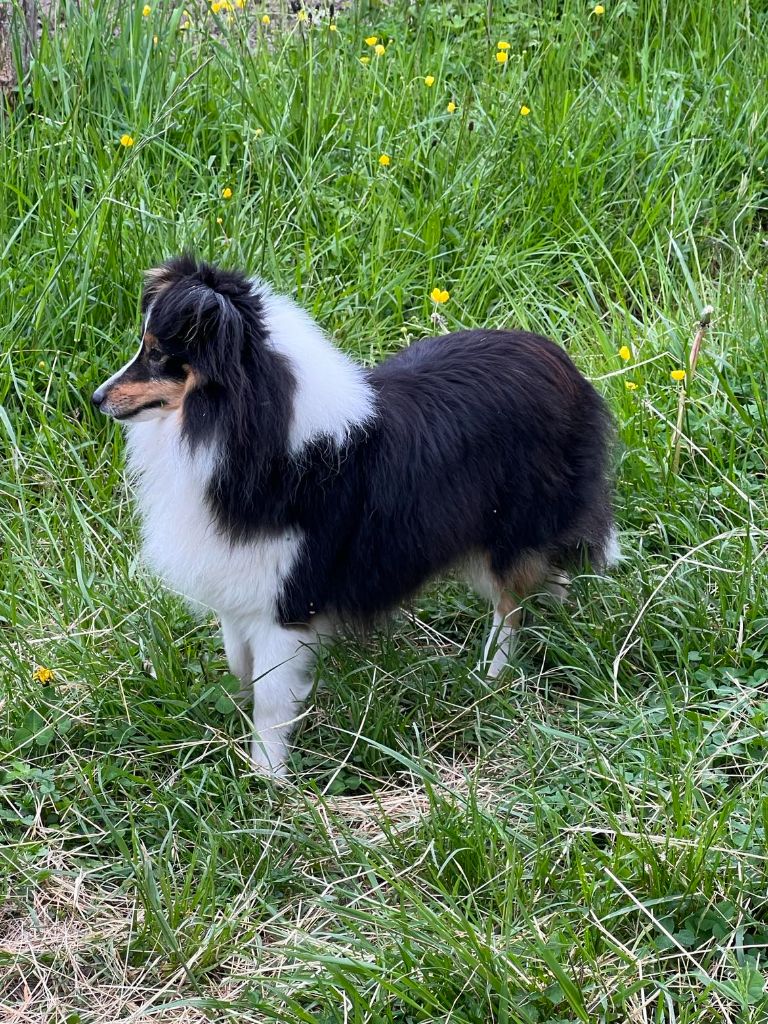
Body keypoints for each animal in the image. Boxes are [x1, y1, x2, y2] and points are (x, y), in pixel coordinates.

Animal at [91, 258, 618, 774]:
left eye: (157, 354)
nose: (97, 398)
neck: (249, 428)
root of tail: (563, 364)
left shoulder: (288, 603)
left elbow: (271, 698)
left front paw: (267, 777)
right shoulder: (240, 584)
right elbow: (241, 664)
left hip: (508, 534)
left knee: (510, 607)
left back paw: (490, 676)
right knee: (546, 578)